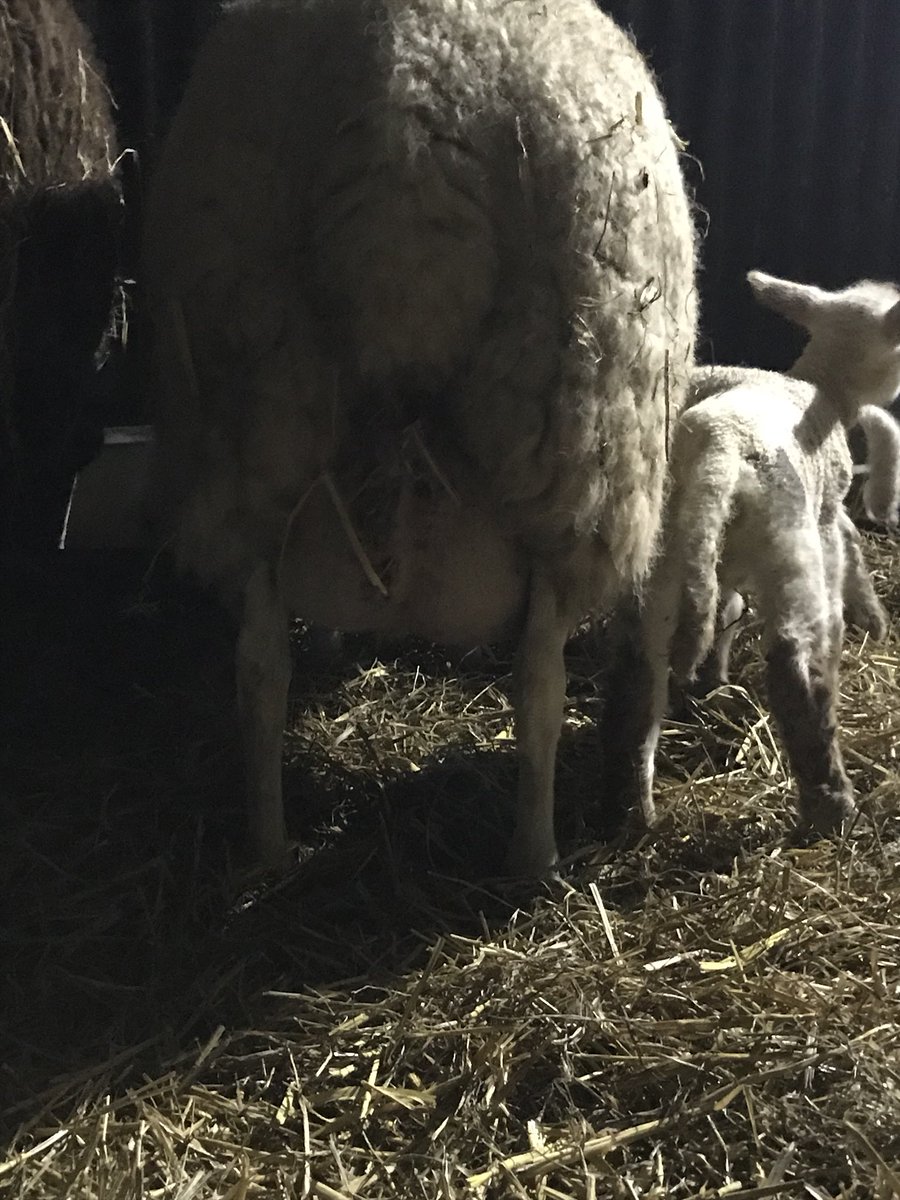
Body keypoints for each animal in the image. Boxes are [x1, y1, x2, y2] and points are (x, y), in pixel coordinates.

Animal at [142, 0, 697, 877]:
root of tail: (408, 93)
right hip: (571, 455)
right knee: (539, 685)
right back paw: (533, 858)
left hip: (254, 409)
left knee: (259, 667)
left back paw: (268, 844)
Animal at [628, 270, 900, 837]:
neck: (823, 388)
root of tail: (718, 456)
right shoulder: (825, 512)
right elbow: (846, 553)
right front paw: (871, 619)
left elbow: (727, 608)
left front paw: (714, 675)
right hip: (788, 545)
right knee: (797, 670)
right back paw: (833, 806)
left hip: (665, 561)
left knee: (639, 679)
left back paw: (630, 811)